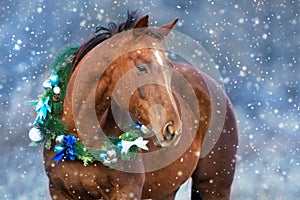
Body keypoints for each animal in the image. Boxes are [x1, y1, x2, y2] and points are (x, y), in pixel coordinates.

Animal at [43, 11, 238, 200]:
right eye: (142, 68)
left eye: (169, 66)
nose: (172, 128)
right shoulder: (59, 191)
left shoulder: (127, 191)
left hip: (214, 187)